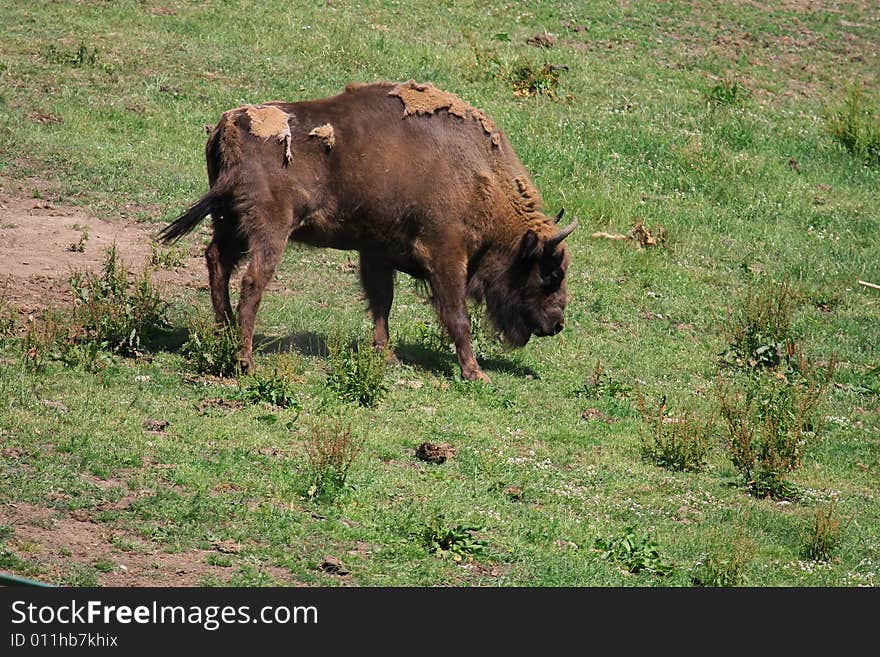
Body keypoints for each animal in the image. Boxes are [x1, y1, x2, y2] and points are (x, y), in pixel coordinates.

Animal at [162, 81, 576, 380]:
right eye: (549, 274)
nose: (557, 324)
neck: (474, 171)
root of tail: (228, 126)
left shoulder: (377, 253)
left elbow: (382, 303)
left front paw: (386, 356)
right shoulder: (446, 255)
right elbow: (457, 316)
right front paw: (474, 373)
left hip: (228, 222)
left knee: (217, 261)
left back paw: (224, 333)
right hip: (269, 231)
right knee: (252, 282)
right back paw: (245, 361)